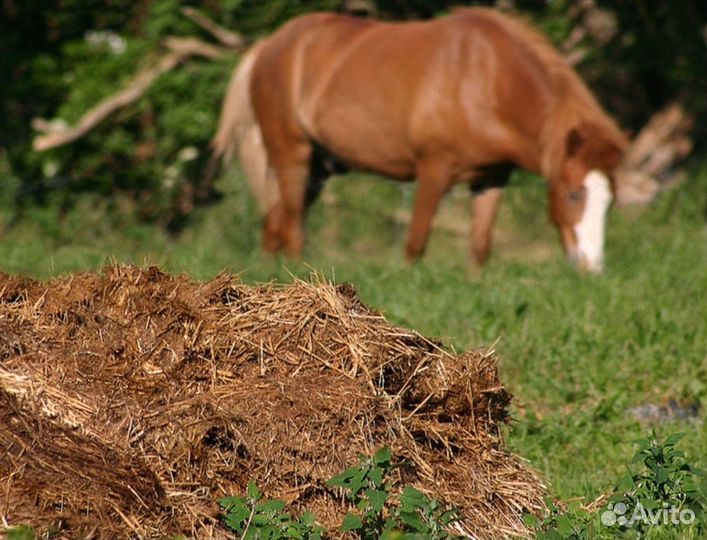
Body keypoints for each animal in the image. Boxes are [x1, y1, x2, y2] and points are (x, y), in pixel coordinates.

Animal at [210, 6, 624, 272]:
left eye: (610, 202)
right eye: (573, 194)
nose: (591, 267)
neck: (486, 79)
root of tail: (268, 45)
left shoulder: (491, 178)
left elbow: (480, 246)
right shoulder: (433, 171)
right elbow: (416, 243)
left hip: (317, 166)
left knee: (274, 221)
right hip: (291, 154)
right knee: (292, 223)